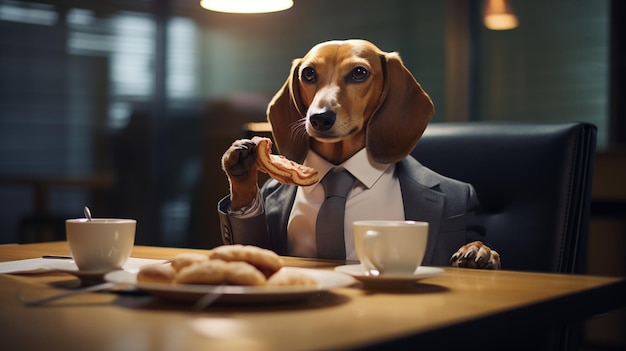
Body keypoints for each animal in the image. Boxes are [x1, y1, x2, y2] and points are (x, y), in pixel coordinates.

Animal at [218, 39, 498, 270]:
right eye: (308, 73)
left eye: (359, 73)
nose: (319, 118)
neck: (339, 166)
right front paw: (240, 168)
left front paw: (478, 250)